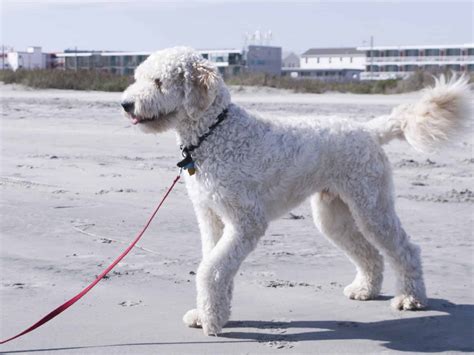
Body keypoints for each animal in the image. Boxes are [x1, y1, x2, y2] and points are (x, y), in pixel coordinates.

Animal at [121, 46, 470, 336]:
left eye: (158, 82)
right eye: (138, 77)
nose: (125, 104)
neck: (214, 133)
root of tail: (370, 130)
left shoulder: (246, 222)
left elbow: (211, 270)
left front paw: (212, 320)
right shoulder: (211, 218)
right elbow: (215, 265)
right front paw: (211, 313)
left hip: (372, 206)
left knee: (406, 248)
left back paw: (411, 298)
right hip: (334, 214)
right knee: (369, 253)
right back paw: (365, 290)